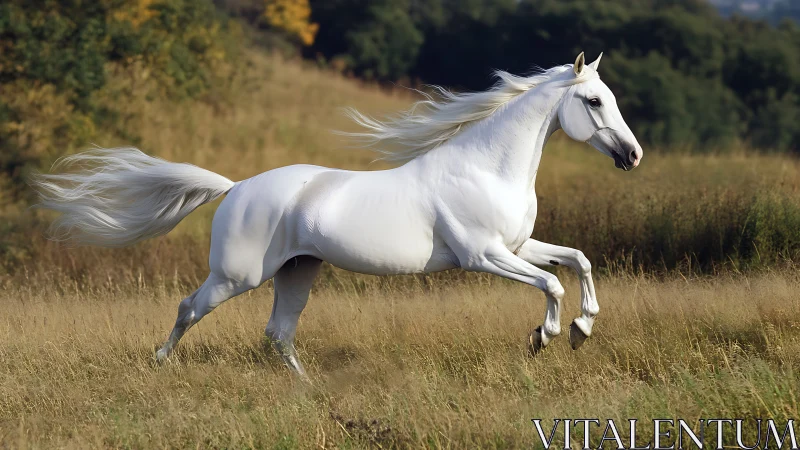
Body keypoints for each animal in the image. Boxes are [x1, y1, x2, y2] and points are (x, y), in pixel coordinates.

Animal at [31, 52, 642, 379]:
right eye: (593, 101)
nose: (632, 155)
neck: (486, 168)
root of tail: (236, 188)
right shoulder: (484, 255)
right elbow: (552, 284)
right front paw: (546, 336)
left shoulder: (517, 247)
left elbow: (578, 262)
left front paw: (583, 328)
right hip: (237, 276)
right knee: (190, 309)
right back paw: (160, 363)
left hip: (297, 271)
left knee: (278, 334)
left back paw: (310, 390)